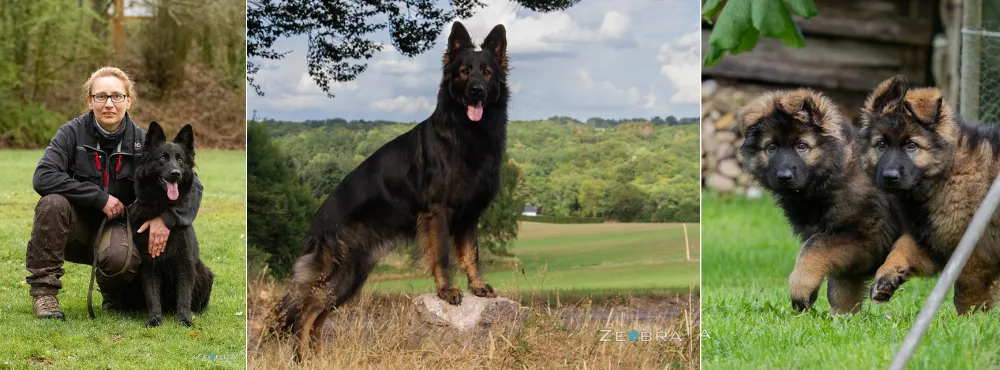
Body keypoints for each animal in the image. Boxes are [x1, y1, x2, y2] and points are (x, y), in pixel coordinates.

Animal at [130, 122, 214, 326]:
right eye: (163, 158)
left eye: (180, 159)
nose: (175, 174)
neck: (161, 207)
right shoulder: (148, 264)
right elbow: (152, 295)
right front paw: (154, 319)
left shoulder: (185, 263)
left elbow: (184, 295)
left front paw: (185, 320)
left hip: (205, 273)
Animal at [274, 21, 508, 360]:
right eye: (465, 72)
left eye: (487, 72)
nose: (476, 90)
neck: (467, 133)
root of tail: (318, 221)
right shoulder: (439, 212)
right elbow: (443, 254)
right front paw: (446, 290)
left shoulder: (469, 215)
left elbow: (471, 253)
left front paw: (477, 286)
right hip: (343, 276)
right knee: (305, 314)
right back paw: (303, 358)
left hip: (353, 279)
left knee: (317, 317)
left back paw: (319, 357)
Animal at [736, 89, 908, 312]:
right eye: (771, 147)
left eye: (802, 146)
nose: (784, 177)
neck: (834, 174)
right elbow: (840, 288)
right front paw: (842, 316)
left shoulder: (869, 236)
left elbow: (814, 247)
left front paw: (801, 287)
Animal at [860, 76, 1000, 316]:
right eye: (881, 145)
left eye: (911, 145)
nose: (889, 176)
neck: (947, 172)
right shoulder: (933, 238)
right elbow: (902, 247)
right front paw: (886, 277)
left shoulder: (974, 256)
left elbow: (967, 297)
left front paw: (970, 320)